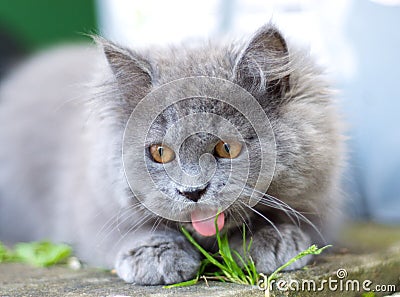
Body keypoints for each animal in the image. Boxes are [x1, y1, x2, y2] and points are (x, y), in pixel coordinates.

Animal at [0, 25, 344, 284]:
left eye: (227, 147)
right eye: (160, 152)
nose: (192, 191)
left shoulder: (322, 207)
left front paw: (272, 240)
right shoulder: (93, 208)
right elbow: (127, 231)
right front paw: (156, 256)